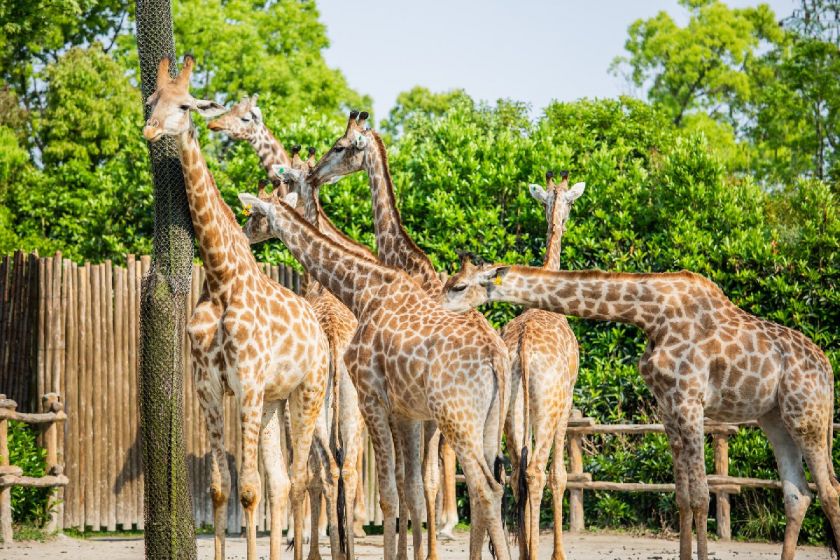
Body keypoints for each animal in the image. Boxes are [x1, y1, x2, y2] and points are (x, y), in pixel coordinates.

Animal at [141, 55, 328, 560]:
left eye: (186, 104)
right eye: (152, 100)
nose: (149, 129)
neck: (221, 279)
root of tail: (321, 334)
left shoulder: (245, 384)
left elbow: (248, 489)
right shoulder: (208, 385)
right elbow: (221, 488)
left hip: (308, 392)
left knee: (301, 479)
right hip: (274, 402)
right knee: (282, 481)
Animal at [236, 189, 512, 560]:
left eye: (253, 213)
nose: (242, 232)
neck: (362, 291)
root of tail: (496, 357)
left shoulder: (371, 398)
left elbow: (387, 493)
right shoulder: (405, 412)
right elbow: (409, 487)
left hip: (455, 417)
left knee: (484, 487)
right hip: (489, 422)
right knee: (493, 485)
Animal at [442, 262, 836, 560]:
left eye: (458, 286)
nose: (436, 308)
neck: (650, 314)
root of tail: (827, 369)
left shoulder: (690, 401)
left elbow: (702, 495)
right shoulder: (669, 407)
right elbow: (683, 496)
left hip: (808, 416)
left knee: (830, 489)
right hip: (776, 420)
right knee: (799, 494)